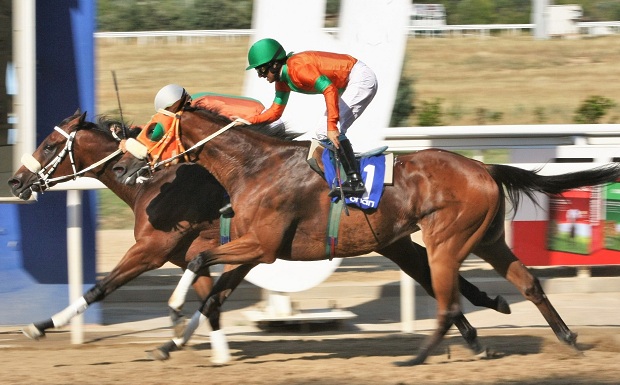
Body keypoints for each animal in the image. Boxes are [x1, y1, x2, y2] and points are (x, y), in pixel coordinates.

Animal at [7, 111, 506, 364]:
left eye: (49, 146)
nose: (15, 182)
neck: (156, 185)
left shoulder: (153, 249)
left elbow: (102, 287)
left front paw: (39, 325)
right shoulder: (220, 253)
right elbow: (211, 299)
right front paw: (194, 344)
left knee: (436, 276)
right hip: (392, 239)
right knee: (432, 276)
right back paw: (480, 324)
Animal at [112, 100, 620, 364]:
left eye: (153, 128)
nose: (123, 167)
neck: (255, 166)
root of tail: (483, 168)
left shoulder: (262, 244)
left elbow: (200, 263)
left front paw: (173, 310)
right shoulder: (254, 248)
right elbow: (212, 288)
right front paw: (170, 341)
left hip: (446, 241)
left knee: (447, 300)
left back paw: (417, 357)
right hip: (487, 238)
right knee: (527, 282)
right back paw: (565, 337)